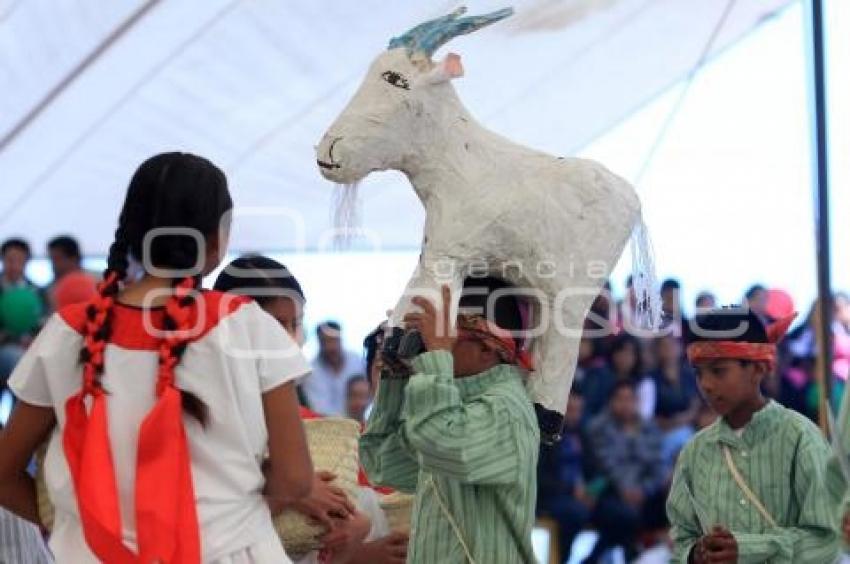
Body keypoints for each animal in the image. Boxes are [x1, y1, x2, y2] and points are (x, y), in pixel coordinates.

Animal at [318, 7, 644, 440]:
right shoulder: (434, 250)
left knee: (554, 380)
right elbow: (405, 312)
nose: (329, 151)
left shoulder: (450, 251)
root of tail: (632, 199)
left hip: (571, 299)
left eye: (395, 79)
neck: (461, 163)